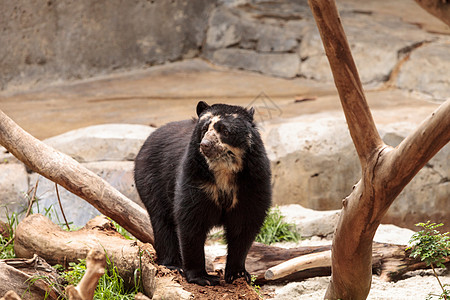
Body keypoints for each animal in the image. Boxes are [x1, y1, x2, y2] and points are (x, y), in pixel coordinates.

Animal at [134, 101, 270, 286]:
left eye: (225, 130)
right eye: (204, 128)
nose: (205, 144)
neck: (224, 169)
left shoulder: (252, 182)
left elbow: (244, 225)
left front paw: (238, 274)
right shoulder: (195, 177)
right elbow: (191, 221)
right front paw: (203, 277)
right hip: (152, 179)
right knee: (162, 221)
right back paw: (173, 265)